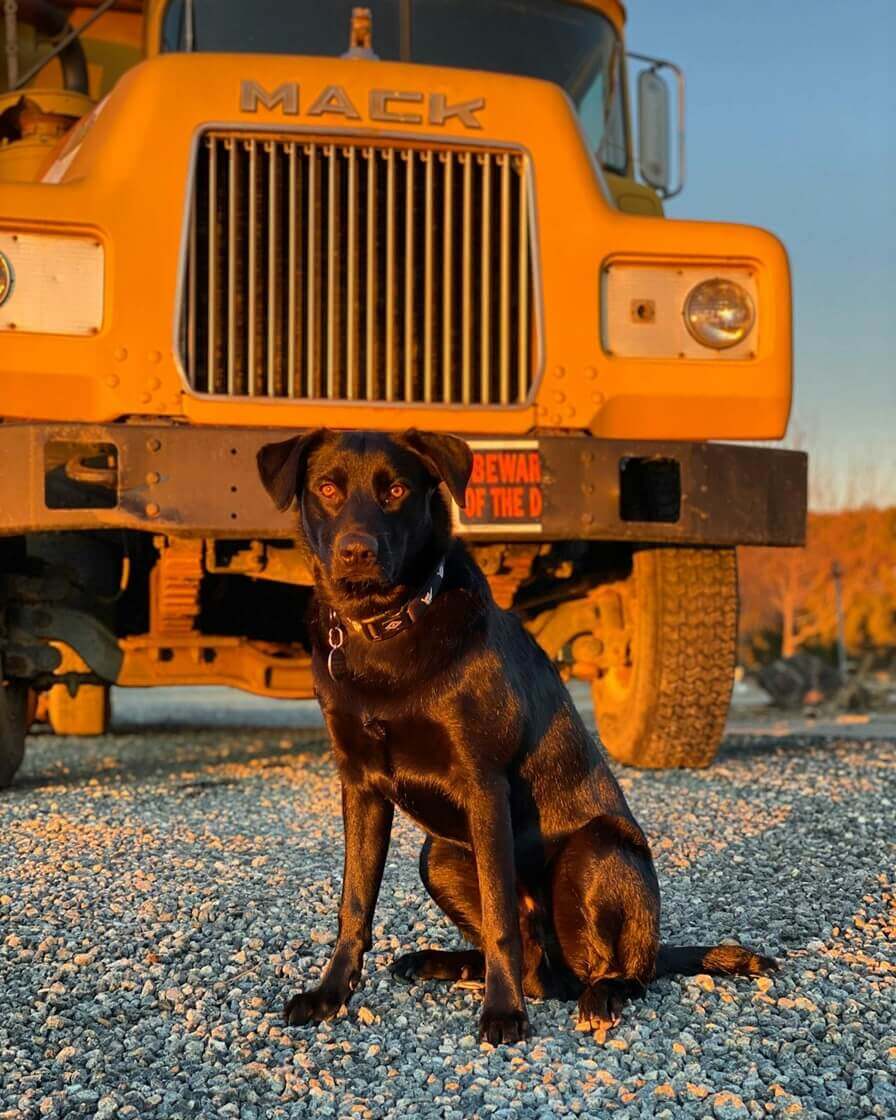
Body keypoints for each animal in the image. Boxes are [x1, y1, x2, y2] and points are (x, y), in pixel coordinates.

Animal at [255, 425, 775, 1039]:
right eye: (329, 488)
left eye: (397, 490)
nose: (357, 553)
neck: (385, 631)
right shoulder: (359, 787)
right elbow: (355, 904)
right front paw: (330, 993)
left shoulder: (485, 786)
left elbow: (499, 909)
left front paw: (503, 1012)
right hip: (440, 854)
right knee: (531, 962)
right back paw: (447, 963)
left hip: (596, 851)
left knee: (615, 971)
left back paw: (600, 994)